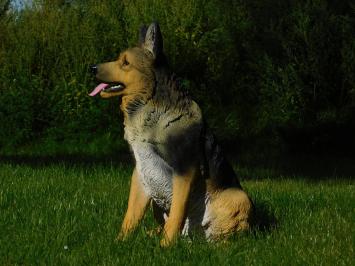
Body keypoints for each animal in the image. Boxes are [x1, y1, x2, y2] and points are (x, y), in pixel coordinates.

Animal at [90, 21, 254, 246]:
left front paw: (164, 247)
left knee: (223, 236)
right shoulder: (141, 171)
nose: (92, 68)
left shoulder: (185, 169)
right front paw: (119, 242)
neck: (149, 103)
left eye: (125, 62)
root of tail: (193, 236)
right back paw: (151, 234)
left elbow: (177, 213)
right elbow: (131, 215)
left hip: (239, 197)